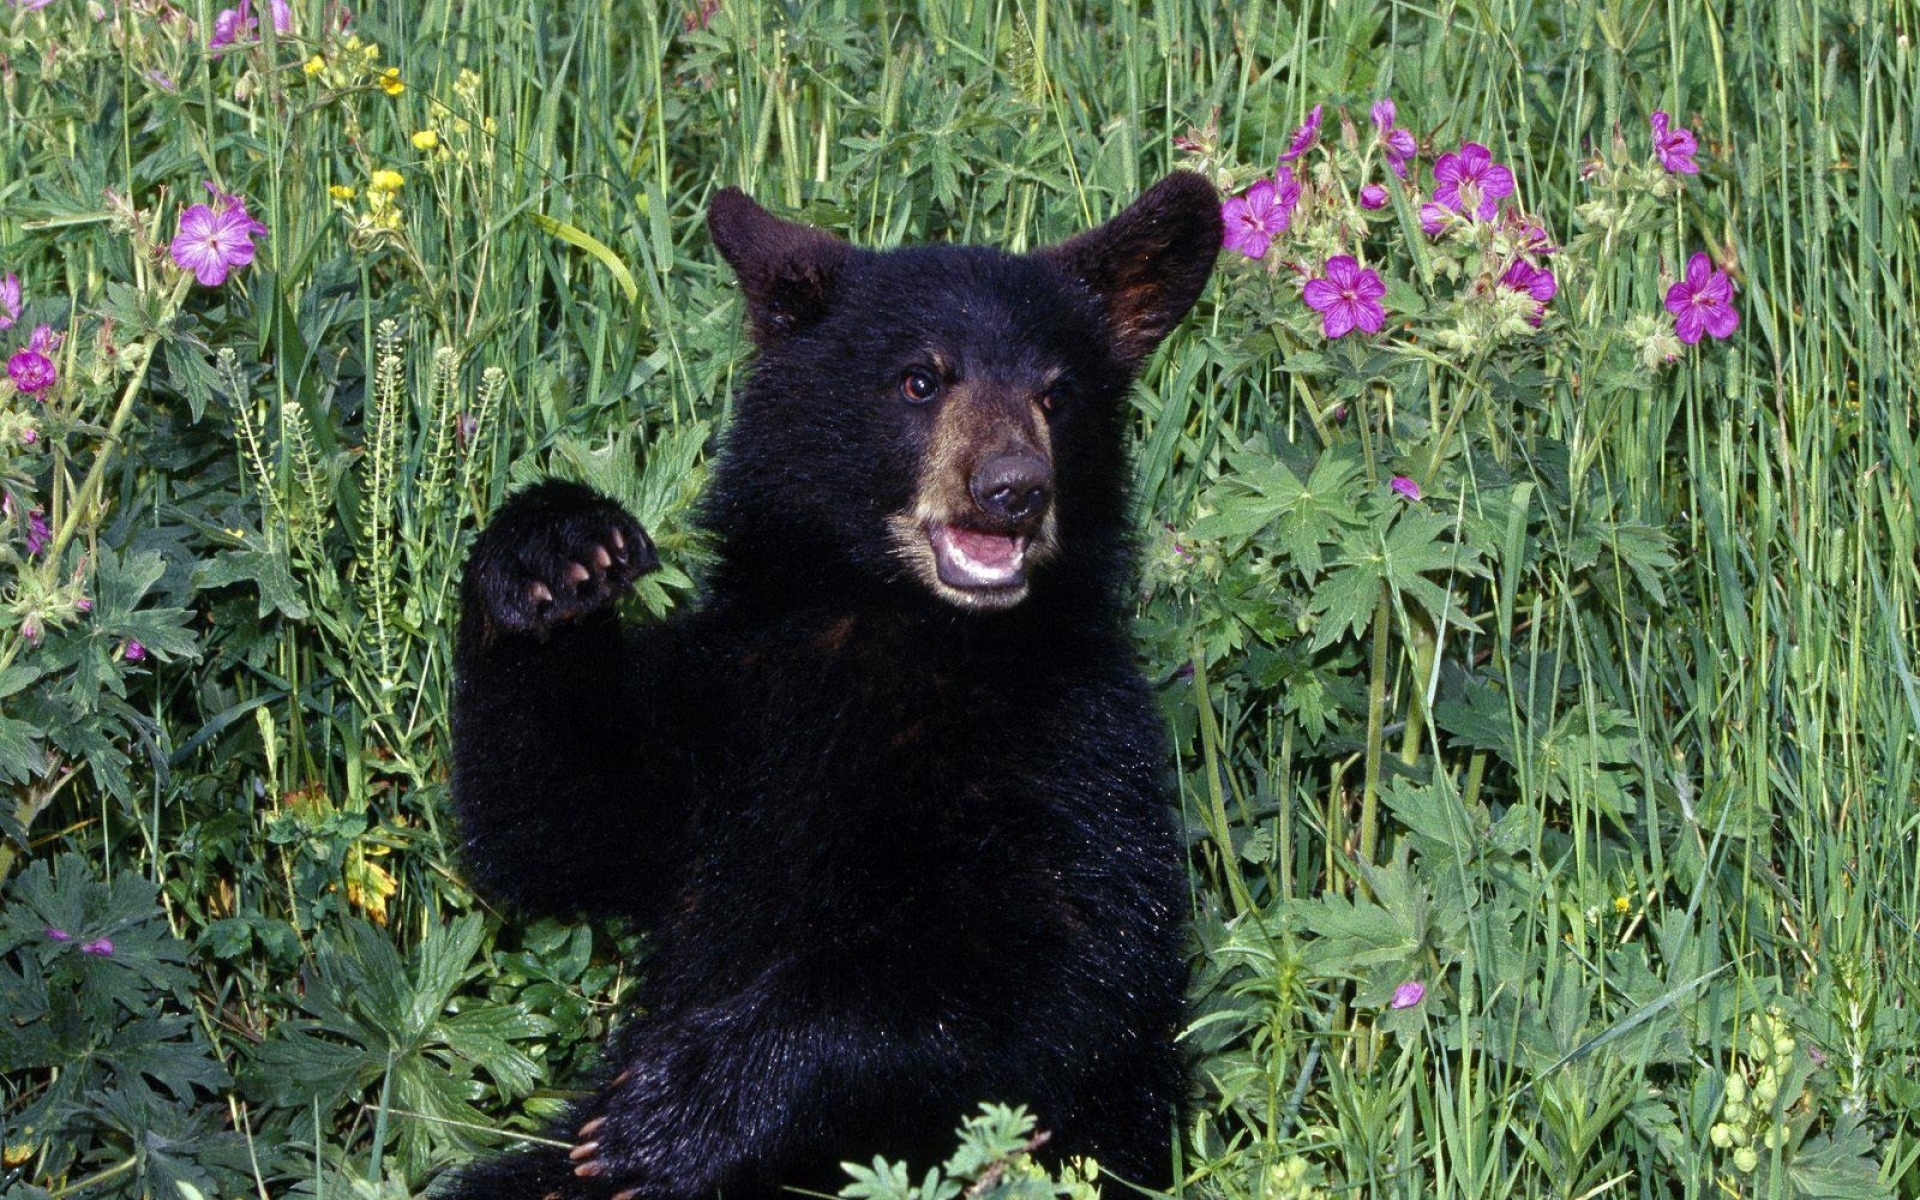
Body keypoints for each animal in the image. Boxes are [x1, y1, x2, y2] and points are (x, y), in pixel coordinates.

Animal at [443, 171, 1223, 1200]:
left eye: (1058, 395)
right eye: (920, 379)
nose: (1014, 488)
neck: (896, 629)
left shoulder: (1079, 747)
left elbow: (1059, 969)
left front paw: (683, 1108)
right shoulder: (729, 700)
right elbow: (559, 817)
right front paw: (552, 553)